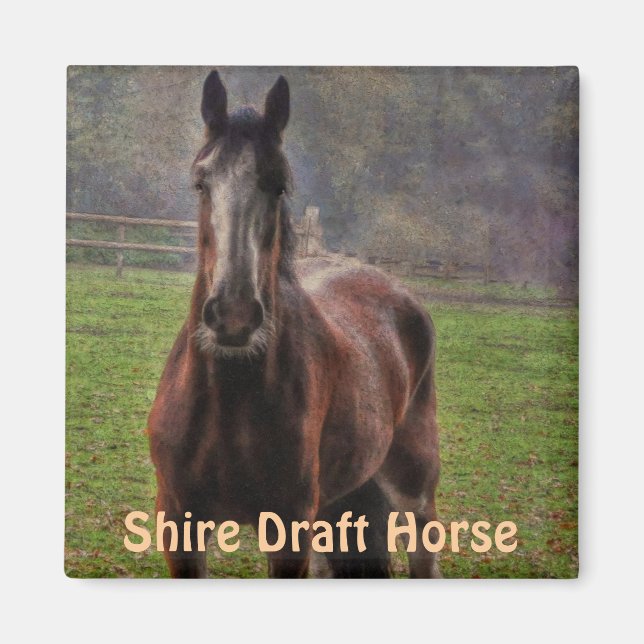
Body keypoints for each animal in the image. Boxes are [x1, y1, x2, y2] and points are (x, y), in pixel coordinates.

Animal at [147, 70, 441, 578]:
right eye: (201, 183)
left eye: (280, 185)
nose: (234, 316)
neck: (230, 402)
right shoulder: (180, 527)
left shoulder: (288, 532)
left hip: (414, 489)